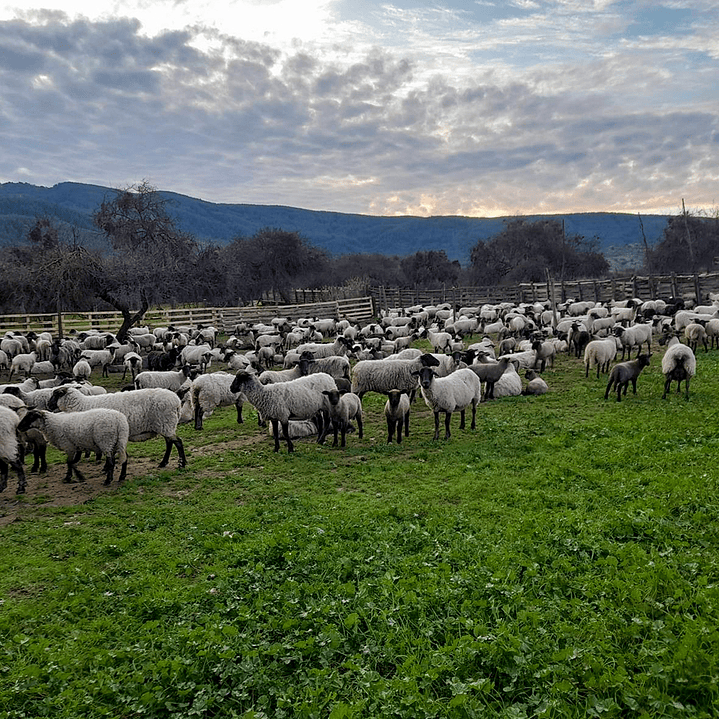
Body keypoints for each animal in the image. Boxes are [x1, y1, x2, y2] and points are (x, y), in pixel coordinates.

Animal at [47, 386, 187, 470]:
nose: (48, 405)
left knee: (178, 442)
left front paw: (106, 467)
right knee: (170, 443)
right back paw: (163, 463)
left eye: (55, 394)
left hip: (166, 423)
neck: (81, 405)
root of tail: (177, 401)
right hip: (166, 425)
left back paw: (182, 463)